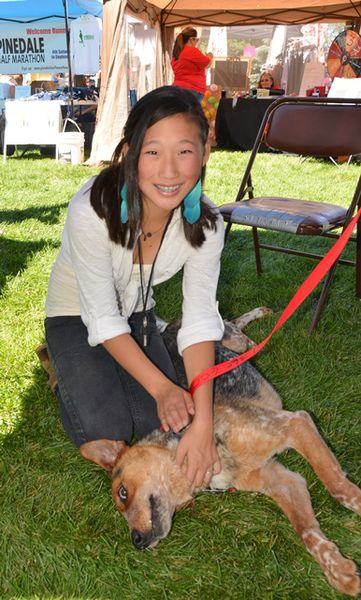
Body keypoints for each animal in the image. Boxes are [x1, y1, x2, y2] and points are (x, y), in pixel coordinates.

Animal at [54, 308, 358, 596]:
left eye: (123, 493)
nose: (136, 541)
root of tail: (170, 326)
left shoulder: (296, 423)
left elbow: (337, 485)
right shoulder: (283, 481)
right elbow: (307, 531)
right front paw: (340, 571)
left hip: (231, 338)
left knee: (239, 328)